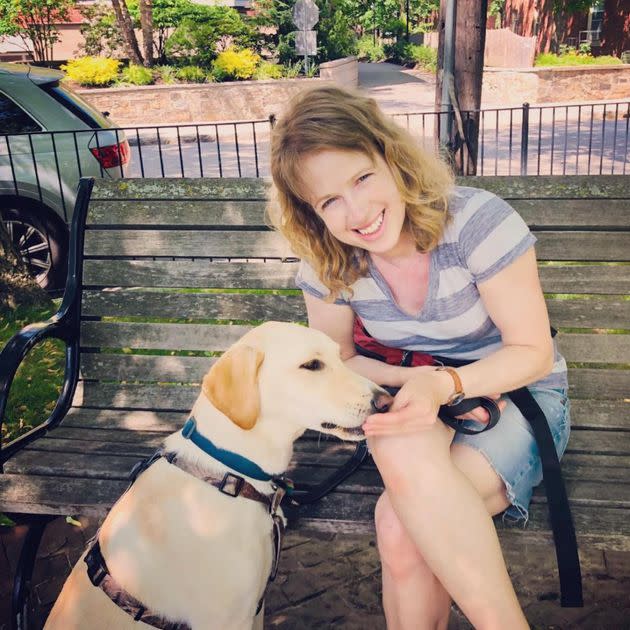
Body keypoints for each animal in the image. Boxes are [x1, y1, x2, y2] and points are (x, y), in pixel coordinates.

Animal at [45, 324, 390, 628]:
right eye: (311, 365)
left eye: (340, 357)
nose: (386, 401)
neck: (231, 473)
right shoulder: (229, 618)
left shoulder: (254, 608)